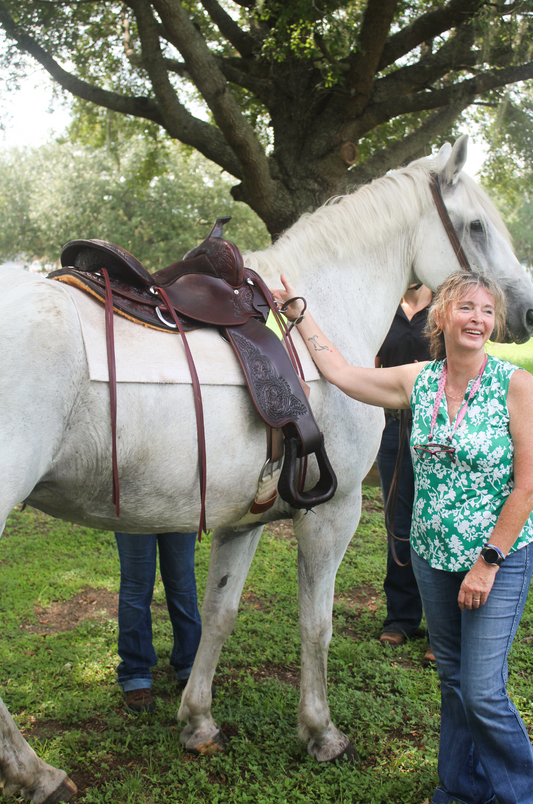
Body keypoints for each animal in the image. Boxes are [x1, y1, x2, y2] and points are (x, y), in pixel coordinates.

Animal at [1, 135, 532, 800]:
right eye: (477, 226)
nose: (524, 311)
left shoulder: (243, 518)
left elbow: (219, 614)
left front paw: (198, 721)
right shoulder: (334, 513)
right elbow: (316, 625)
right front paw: (321, 732)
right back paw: (37, 773)